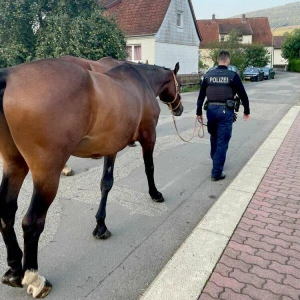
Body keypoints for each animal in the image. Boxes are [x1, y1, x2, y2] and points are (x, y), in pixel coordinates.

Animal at [0, 57, 183, 296]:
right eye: (179, 83)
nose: (179, 109)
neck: (141, 82)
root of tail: (9, 77)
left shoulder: (111, 147)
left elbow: (106, 183)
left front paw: (101, 225)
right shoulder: (149, 137)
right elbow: (149, 167)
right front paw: (155, 194)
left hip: (14, 165)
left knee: (6, 212)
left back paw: (14, 270)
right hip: (46, 174)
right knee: (31, 222)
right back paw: (35, 279)